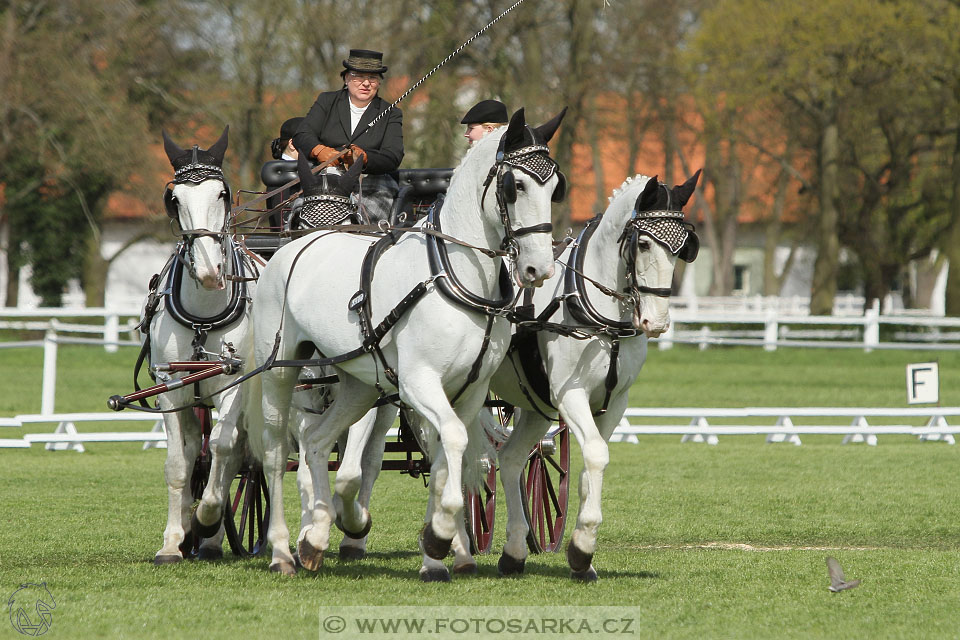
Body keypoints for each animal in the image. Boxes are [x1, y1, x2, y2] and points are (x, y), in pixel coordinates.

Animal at [244, 107, 568, 576]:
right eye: (515, 185)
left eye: (555, 186)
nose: (539, 269)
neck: (454, 274)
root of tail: (293, 248)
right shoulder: (419, 382)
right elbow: (452, 442)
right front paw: (438, 536)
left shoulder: (469, 391)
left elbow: (452, 454)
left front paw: (444, 547)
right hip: (281, 375)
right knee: (273, 453)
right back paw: (283, 551)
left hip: (359, 384)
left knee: (317, 442)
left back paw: (318, 538)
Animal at [492, 170, 700, 580]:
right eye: (644, 243)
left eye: (683, 247)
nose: (657, 322)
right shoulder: (569, 394)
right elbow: (595, 454)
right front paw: (584, 545)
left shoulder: (613, 402)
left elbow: (594, 464)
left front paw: (580, 555)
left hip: (535, 405)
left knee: (510, 459)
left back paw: (513, 553)